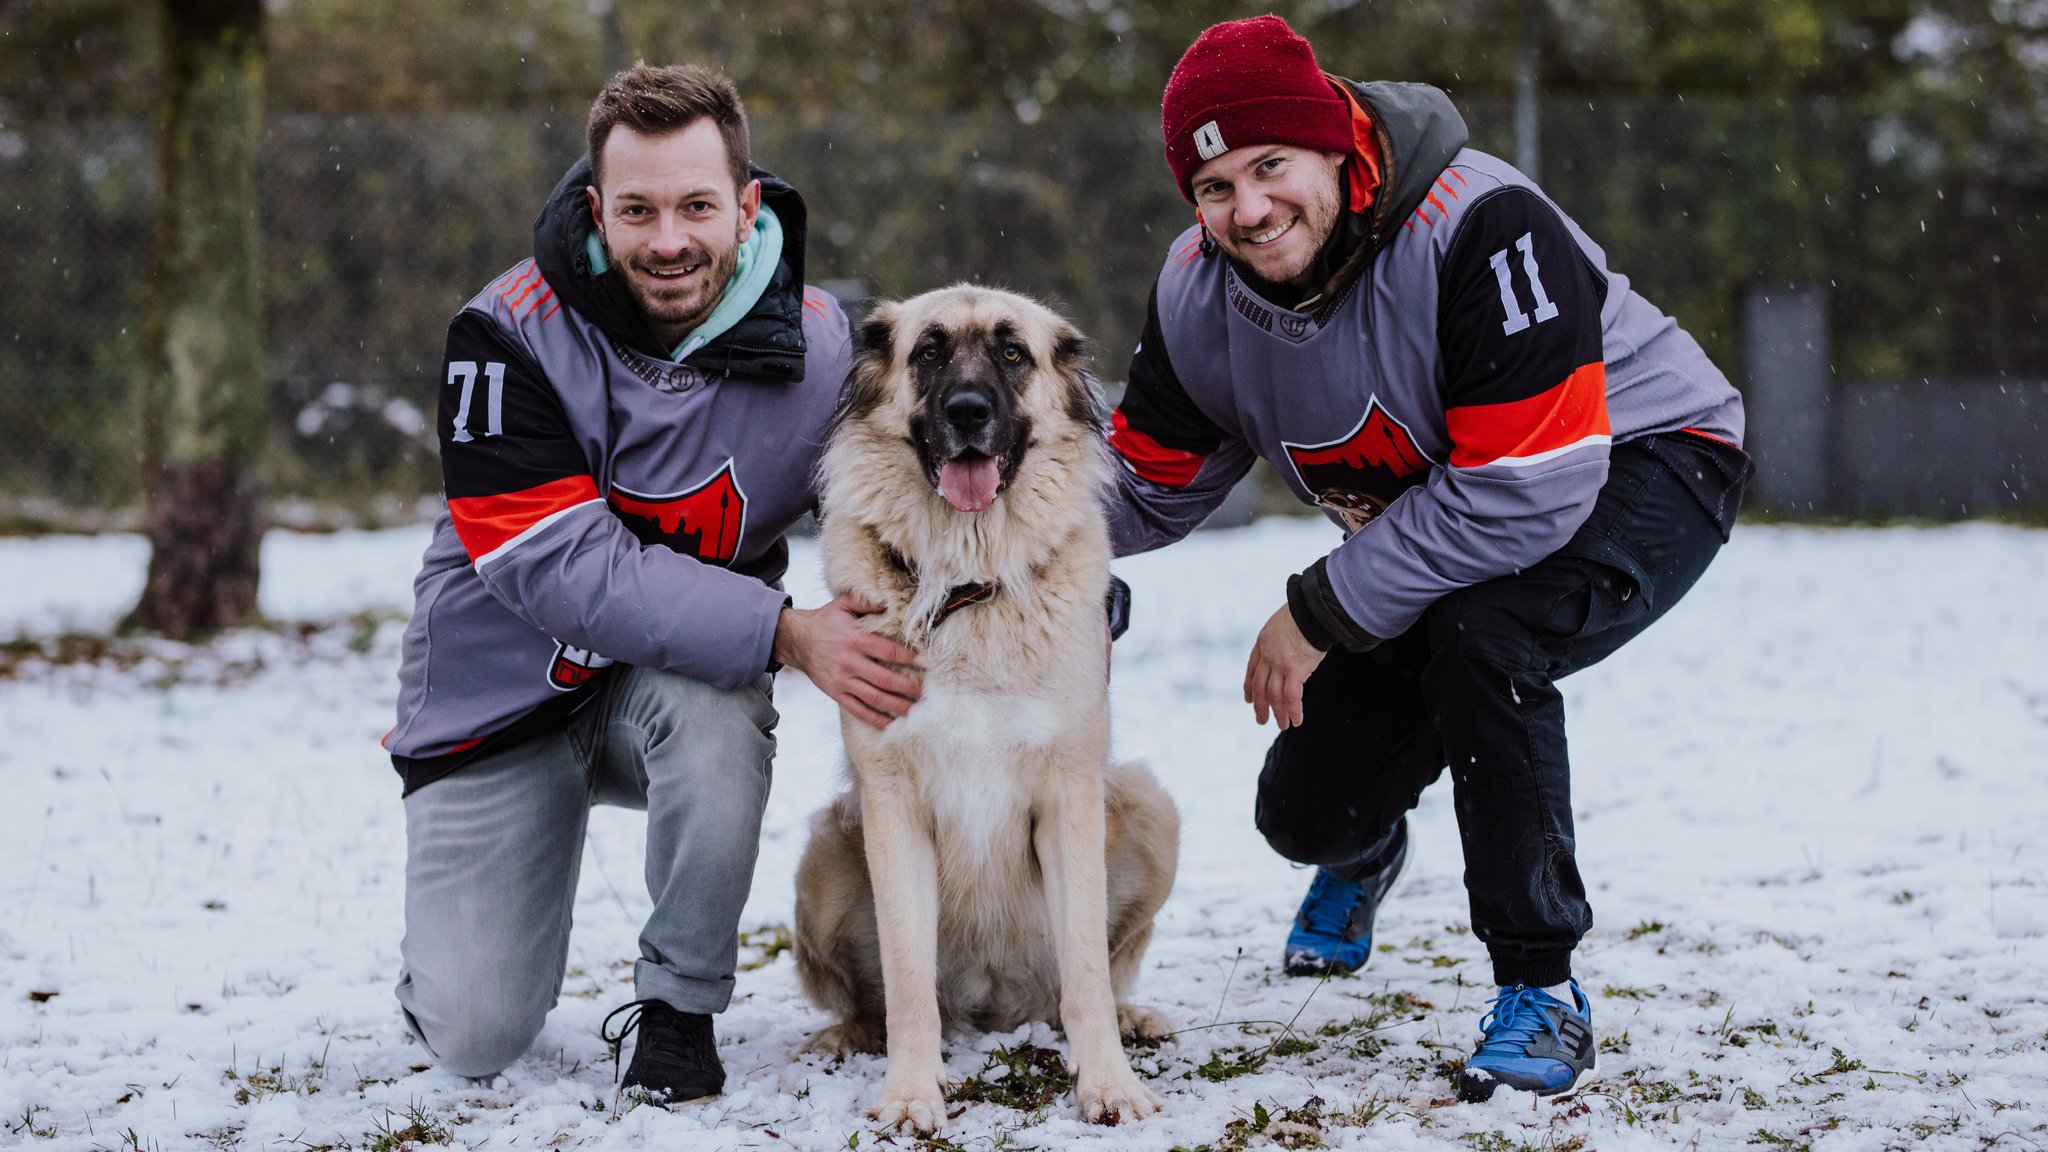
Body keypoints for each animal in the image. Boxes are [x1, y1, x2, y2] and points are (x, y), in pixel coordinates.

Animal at [798, 282, 1187, 1123]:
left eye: (1013, 353)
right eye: (929, 352)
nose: (970, 411)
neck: (969, 586)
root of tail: (994, 1007)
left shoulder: (1070, 794)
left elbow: (1086, 972)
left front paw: (1108, 1085)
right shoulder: (891, 802)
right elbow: (908, 982)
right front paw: (911, 1093)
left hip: (1148, 803)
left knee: (1091, 978)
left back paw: (1130, 1020)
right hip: (825, 850)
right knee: (869, 997)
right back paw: (847, 1035)